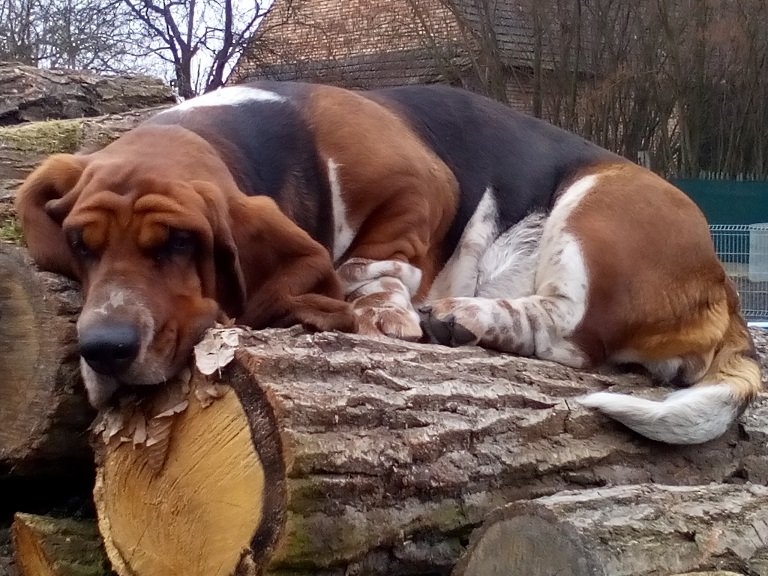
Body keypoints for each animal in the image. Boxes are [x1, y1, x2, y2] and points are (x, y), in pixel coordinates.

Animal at [16, 81, 761, 444]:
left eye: (177, 243)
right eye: (81, 244)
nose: (104, 348)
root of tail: (722, 284)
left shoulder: (418, 186)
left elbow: (374, 263)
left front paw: (376, 310)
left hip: (598, 205)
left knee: (572, 331)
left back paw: (464, 315)